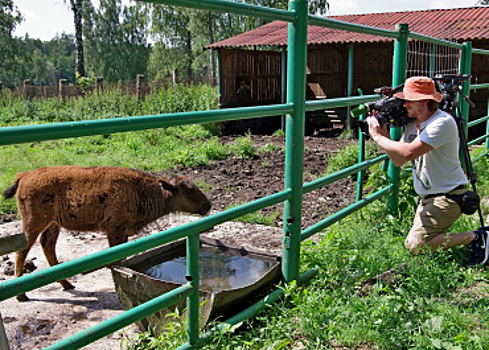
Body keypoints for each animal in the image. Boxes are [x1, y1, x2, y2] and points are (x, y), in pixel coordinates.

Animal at [1, 166, 212, 300]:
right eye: (189, 191)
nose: (208, 205)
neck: (141, 190)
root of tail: (24, 175)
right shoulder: (115, 230)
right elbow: (116, 256)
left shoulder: (122, 232)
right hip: (34, 222)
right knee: (22, 251)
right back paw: (21, 295)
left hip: (53, 224)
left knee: (48, 246)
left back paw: (67, 284)